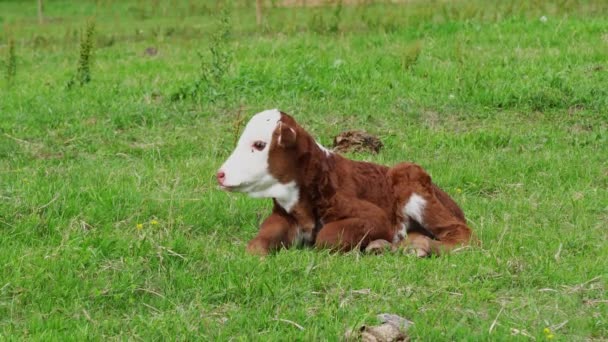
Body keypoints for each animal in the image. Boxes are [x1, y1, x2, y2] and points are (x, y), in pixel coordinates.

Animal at [216, 109, 472, 256]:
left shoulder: (375, 217)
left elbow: (326, 237)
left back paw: (418, 246)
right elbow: (259, 240)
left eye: (259, 144)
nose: (220, 174)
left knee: (463, 235)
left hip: (412, 182)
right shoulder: (283, 215)